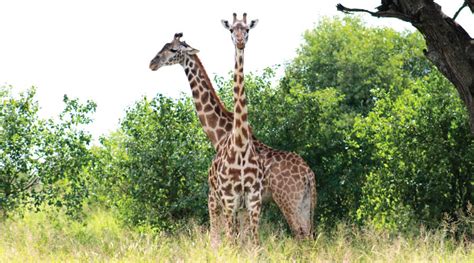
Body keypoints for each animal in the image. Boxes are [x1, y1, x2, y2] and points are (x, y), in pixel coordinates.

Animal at [150, 31, 316, 241]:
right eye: (163, 46)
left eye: (172, 49)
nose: (152, 63)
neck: (220, 135)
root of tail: (309, 174)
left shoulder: (214, 195)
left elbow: (218, 235)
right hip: (305, 203)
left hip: (288, 200)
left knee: (299, 234)